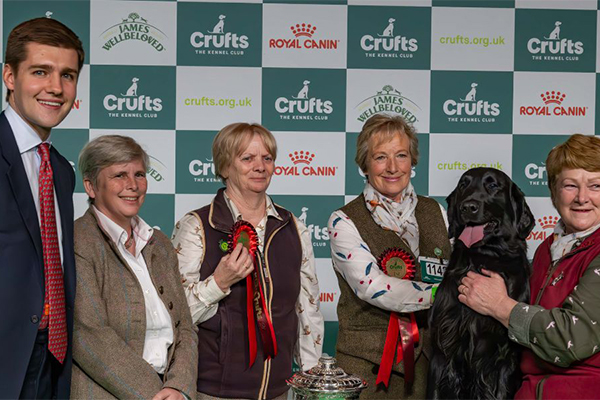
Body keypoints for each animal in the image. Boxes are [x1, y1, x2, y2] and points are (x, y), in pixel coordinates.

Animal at [426, 168, 536, 400]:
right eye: (463, 185)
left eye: (493, 186)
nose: (467, 207)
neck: (484, 258)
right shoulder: (442, 350)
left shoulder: (505, 358)